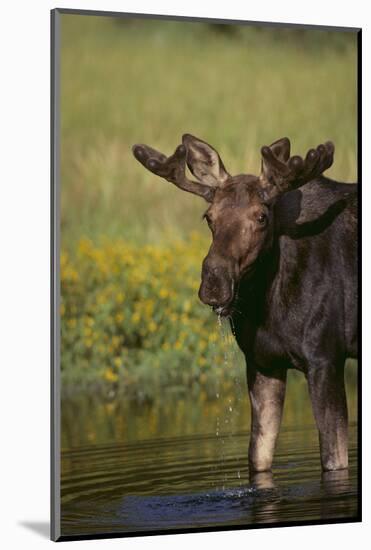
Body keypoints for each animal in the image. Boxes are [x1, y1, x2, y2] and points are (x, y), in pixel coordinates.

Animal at [133, 135, 358, 474]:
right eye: (208, 217)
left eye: (261, 216)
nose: (214, 282)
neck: (270, 307)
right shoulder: (262, 362)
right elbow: (257, 457)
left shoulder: (326, 358)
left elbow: (334, 461)